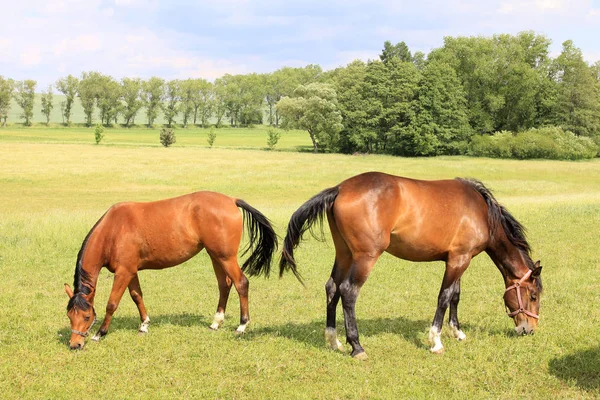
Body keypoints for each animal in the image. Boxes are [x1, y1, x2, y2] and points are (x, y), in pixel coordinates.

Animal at [65, 191, 276, 350]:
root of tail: (231, 200)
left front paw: (100, 333)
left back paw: (242, 325)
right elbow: (137, 296)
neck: (114, 229)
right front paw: (144, 325)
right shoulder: (131, 271)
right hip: (215, 256)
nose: (75, 344)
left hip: (226, 257)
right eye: (69, 316)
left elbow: (112, 303)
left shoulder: (124, 272)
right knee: (224, 285)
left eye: (87, 316)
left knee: (241, 283)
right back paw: (216, 322)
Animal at [282, 172, 544, 360]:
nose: (529, 329)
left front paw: (457, 332)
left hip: (344, 253)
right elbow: (444, 297)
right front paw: (436, 341)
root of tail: (340, 189)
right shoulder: (459, 260)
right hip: (365, 257)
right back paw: (357, 347)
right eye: (532, 295)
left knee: (332, 288)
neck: (482, 212)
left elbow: (455, 296)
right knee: (348, 291)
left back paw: (333, 340)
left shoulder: (459, 258)